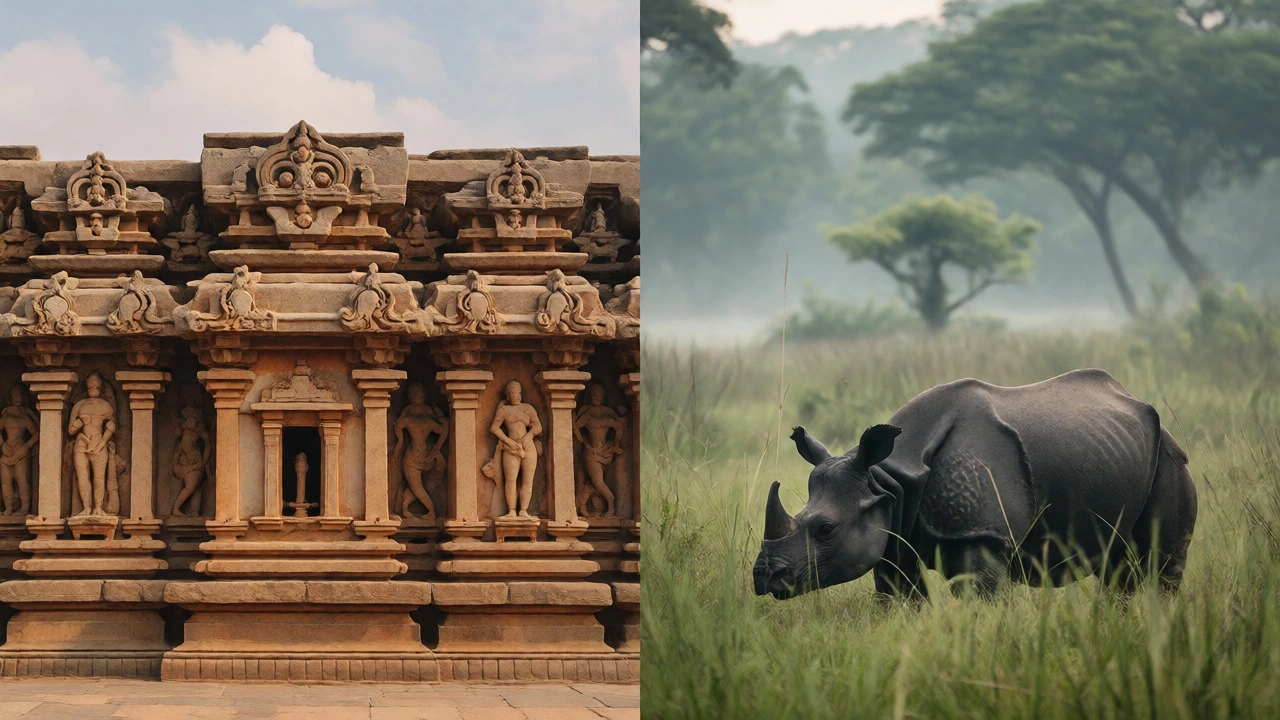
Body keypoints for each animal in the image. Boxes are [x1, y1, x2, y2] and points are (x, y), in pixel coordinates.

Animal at [753, 369, 1197, 600]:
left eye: (826, 529)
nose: (764, 578)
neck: (887, 477)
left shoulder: (983, 532)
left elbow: (977, 596)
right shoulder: (893, 531)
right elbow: (898, 598)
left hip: (1168, 456)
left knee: (1158, 565)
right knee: (1118, 568)